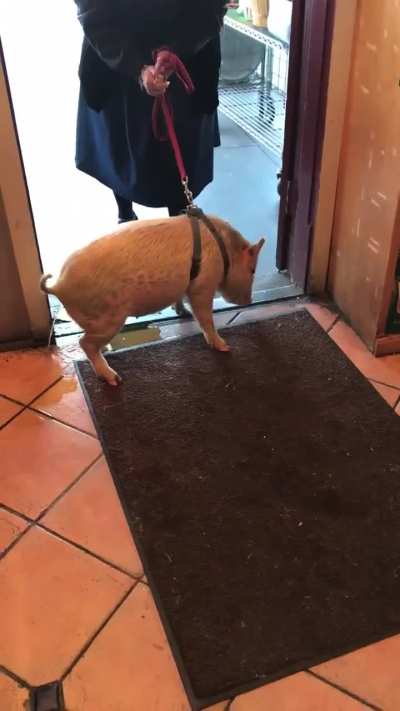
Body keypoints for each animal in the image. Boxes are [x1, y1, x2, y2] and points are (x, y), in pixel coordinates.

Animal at [40, 214, 265, 385]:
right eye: (253, 270)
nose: (250, 300)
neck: (225, 250)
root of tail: (59, 285)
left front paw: (182, 312)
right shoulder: (203, 285)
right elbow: (205, 317)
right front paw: (225, 346)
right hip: (109, 317)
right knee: (84, 342)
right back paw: (114, 379)